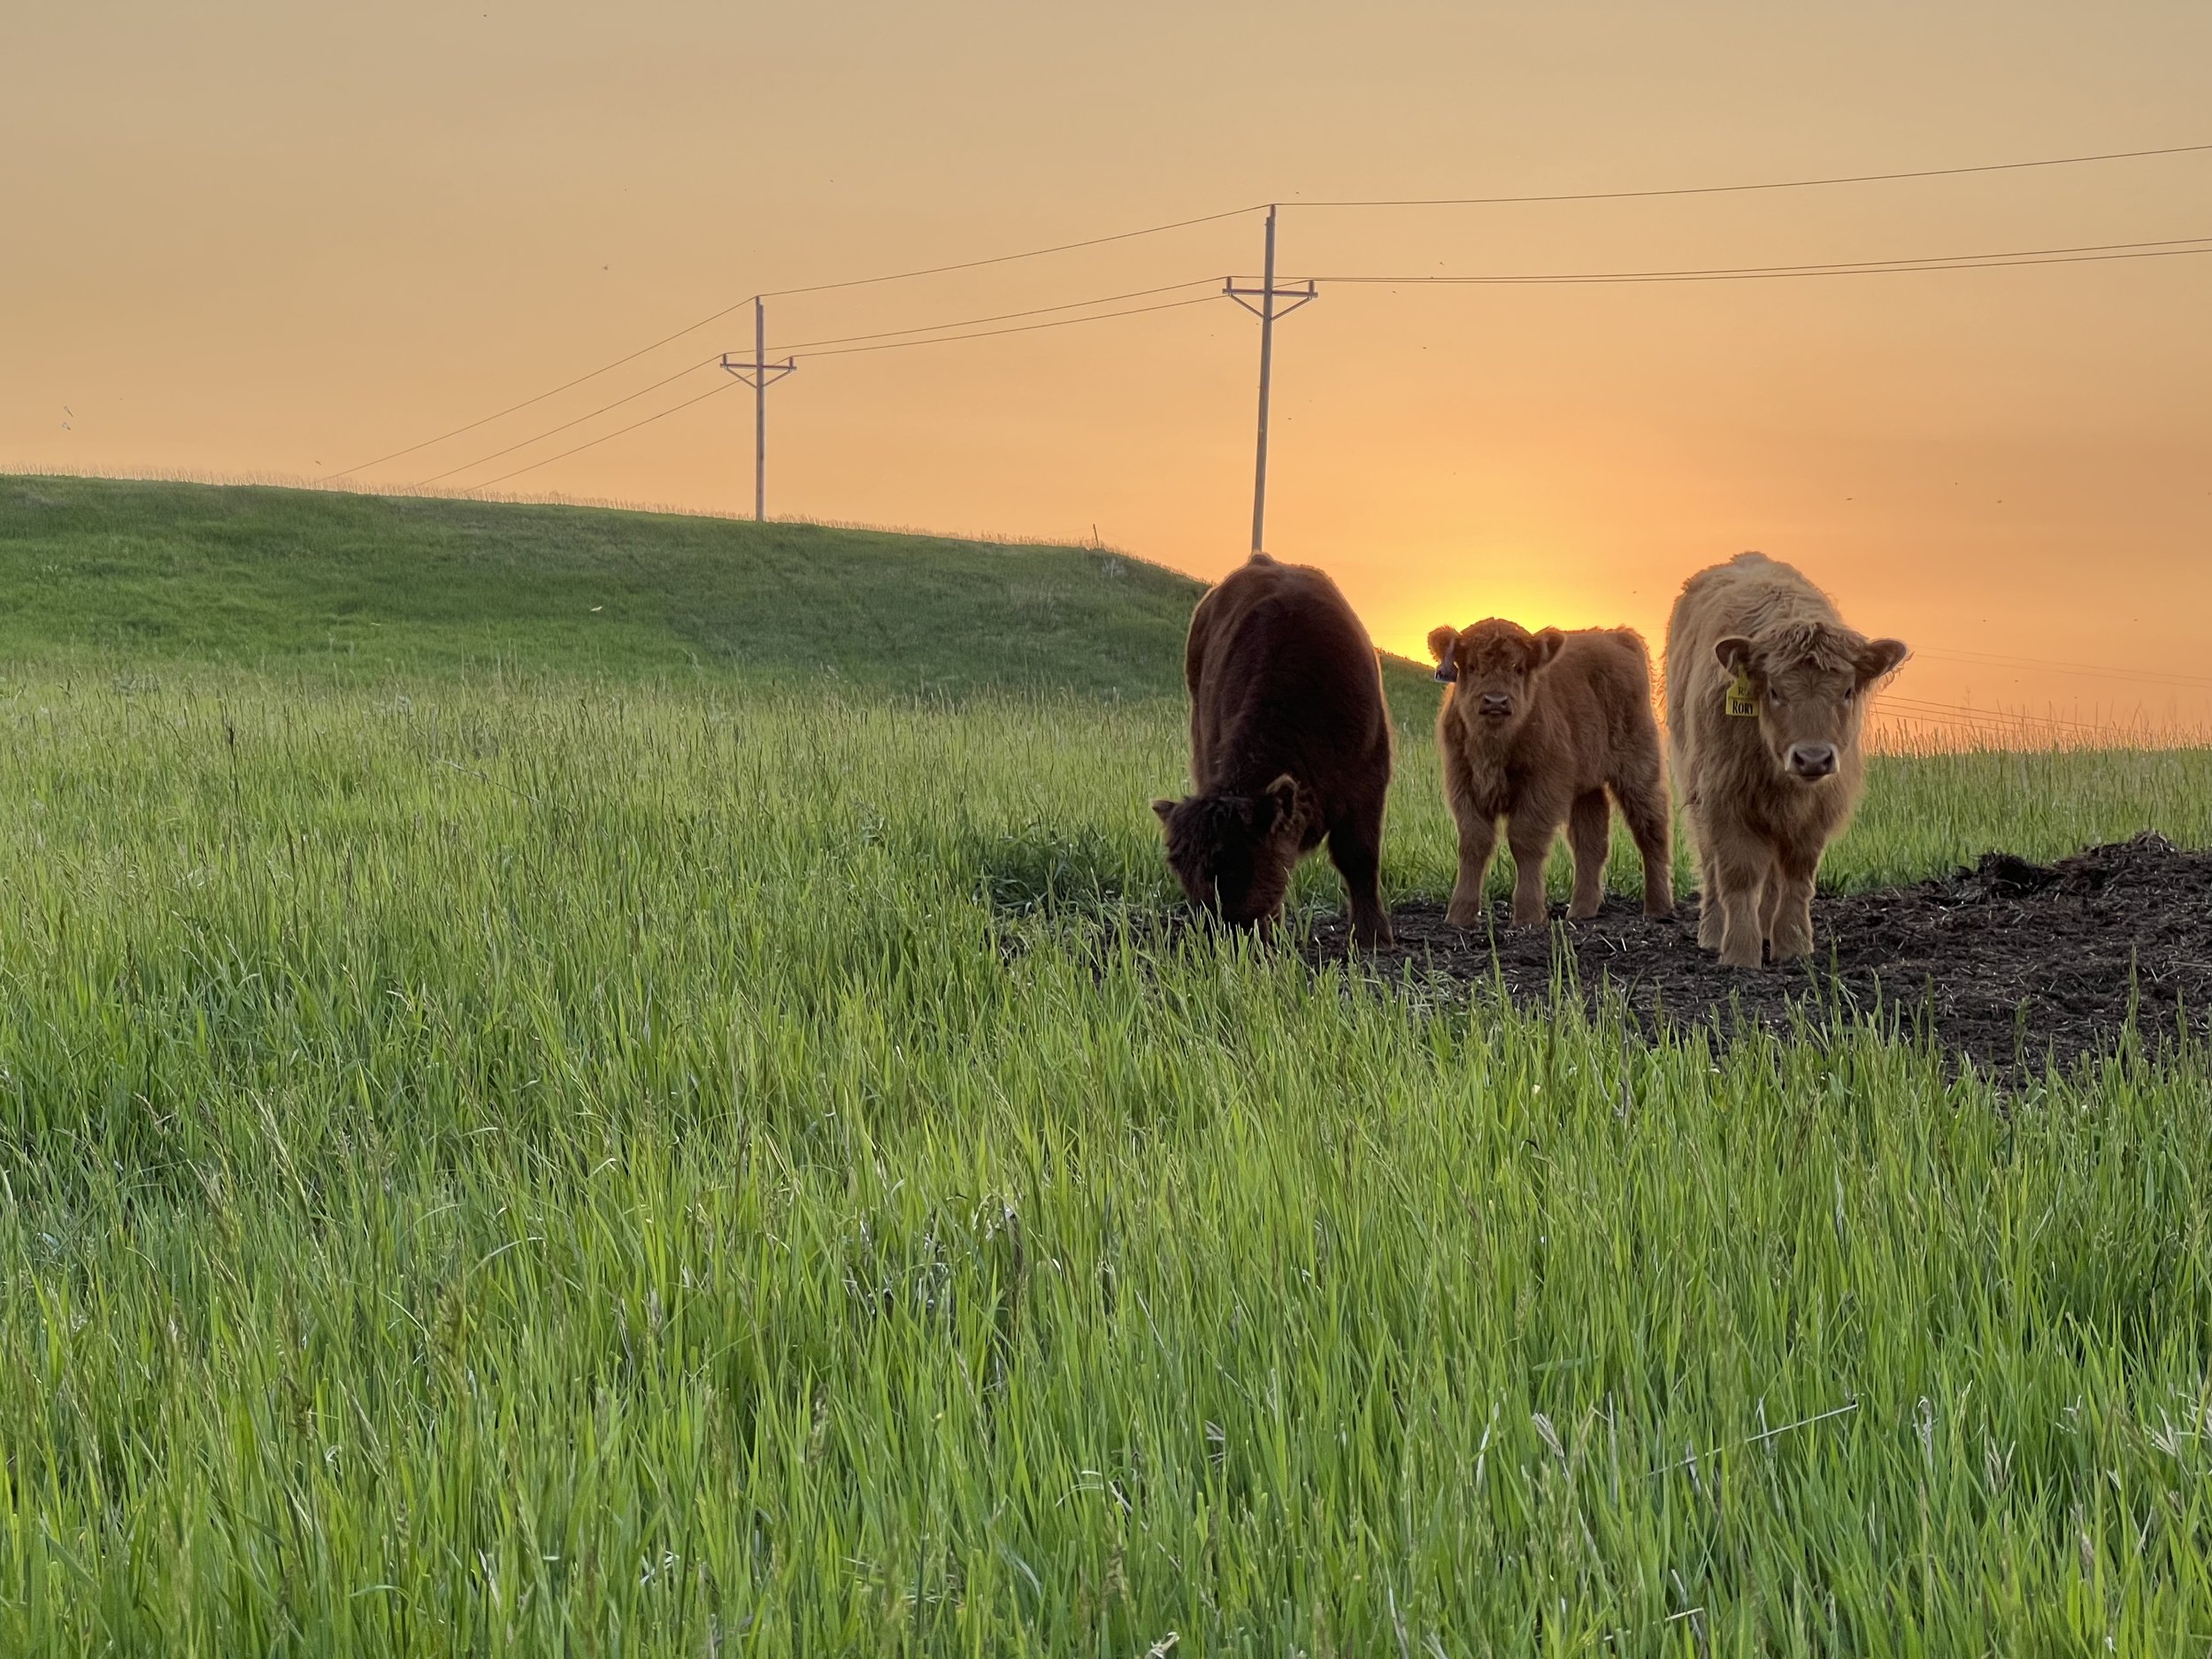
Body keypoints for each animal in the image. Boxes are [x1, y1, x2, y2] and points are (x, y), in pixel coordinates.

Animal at [1153, 552, 1394, 947]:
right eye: (1179, 866)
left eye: (1233, 862)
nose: (1213, 933)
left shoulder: (1367, 784)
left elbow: (1359, 857)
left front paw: (1373, 936)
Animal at [1427, 619, 1673, 928]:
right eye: (1471, 666)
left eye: (1518, 668)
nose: (1495, 701)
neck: (1494, 745)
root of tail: (1617, 636)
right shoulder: (1463, 783)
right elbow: (1474, 843)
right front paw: (1459, 915)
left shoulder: (1543, 784)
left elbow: (1525, 840)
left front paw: (1528, 915)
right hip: (1587, 785)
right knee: (1590, 841)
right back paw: (1581, 910)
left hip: (1639, 769)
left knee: (1651, 830)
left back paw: (1658, 908)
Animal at [1664, 552, 1908, 968]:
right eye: (1775, 691)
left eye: (1846, 691)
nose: (1813, 758)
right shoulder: (1724, 797)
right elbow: (1738, 875)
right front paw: (1740, 952)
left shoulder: (1817, 808)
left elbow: (1796, 876)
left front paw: (1793, 946)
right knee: (1711, 865)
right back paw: (1713, 933)